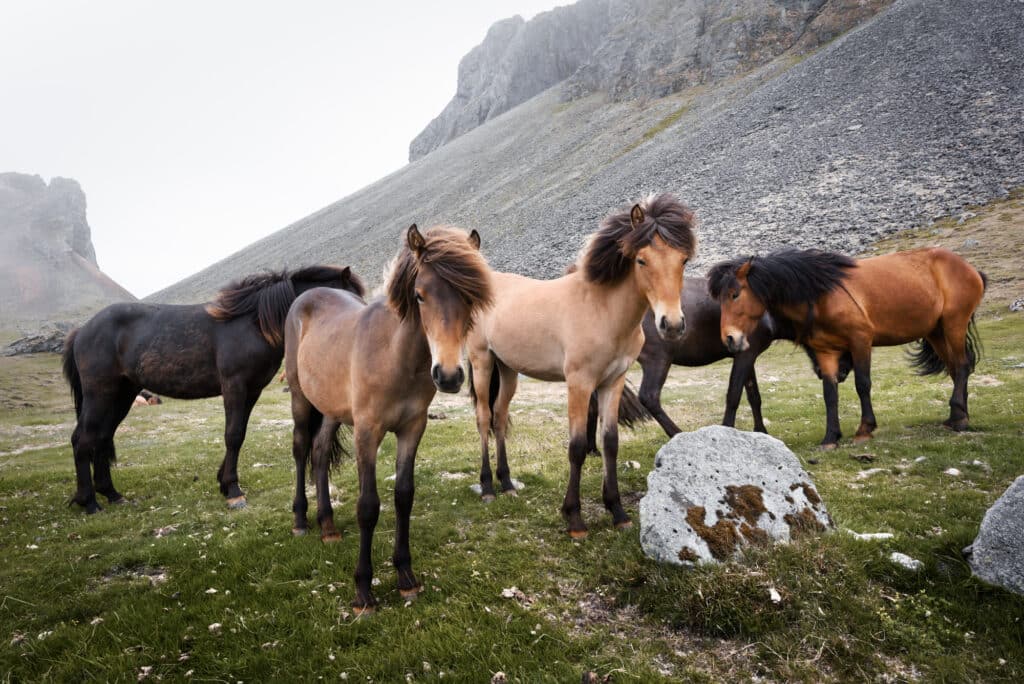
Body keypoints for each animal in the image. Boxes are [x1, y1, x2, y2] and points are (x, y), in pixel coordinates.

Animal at [60, 264, 364, 509]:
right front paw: (233, 490)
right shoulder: (234, 387)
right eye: (349, 299)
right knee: (83, 439)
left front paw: (223, 482)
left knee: (101, 437)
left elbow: (239, 434)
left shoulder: (251, 391)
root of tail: (82, 330)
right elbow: (232, 434)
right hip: (101, 394)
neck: (253, 324)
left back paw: (111, 494)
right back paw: (89, 502)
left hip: (121, 395)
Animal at [466, 193, 696, 540]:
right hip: (482, 362)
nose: (671, 325)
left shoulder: (613, 382)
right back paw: (488, 487)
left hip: (507, 370)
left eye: (682, 260)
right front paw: (574, 518)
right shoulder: (579, 382)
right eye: (641, 261)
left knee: (499, 416)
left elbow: (610, 443)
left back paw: (506, 483)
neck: (602, 309)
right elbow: (576, 447)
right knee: (483, 418)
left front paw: (617, 512)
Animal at [708, 245, 987, 448]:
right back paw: (958, 416)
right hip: (936, 332)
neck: (821, 294)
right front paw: (831, 437)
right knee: (955, 369)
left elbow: (862, 384)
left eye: (735, 294)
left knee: (962, 366)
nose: (729, 339)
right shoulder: (826, 352)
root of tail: (970, 268)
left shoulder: (860, 341)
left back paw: (959, 418)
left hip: (953, 324)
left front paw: (864, 429)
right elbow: (829, 394)